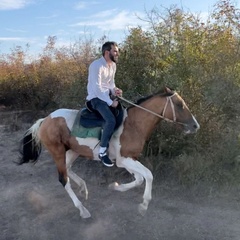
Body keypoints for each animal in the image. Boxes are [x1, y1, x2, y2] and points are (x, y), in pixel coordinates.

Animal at [18, 86, 200, 218]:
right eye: (179, 105)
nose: (195, 126)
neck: (133, 124)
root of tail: (45, 120)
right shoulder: (124, 159)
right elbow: (148, 175)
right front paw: (143, 205)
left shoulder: (126, 160)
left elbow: (139, 179)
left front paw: (116, 187)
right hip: (58, 151)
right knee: (63, 179)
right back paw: (82, 209)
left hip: (73, 151)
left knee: (68, 169)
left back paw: (83, 188)